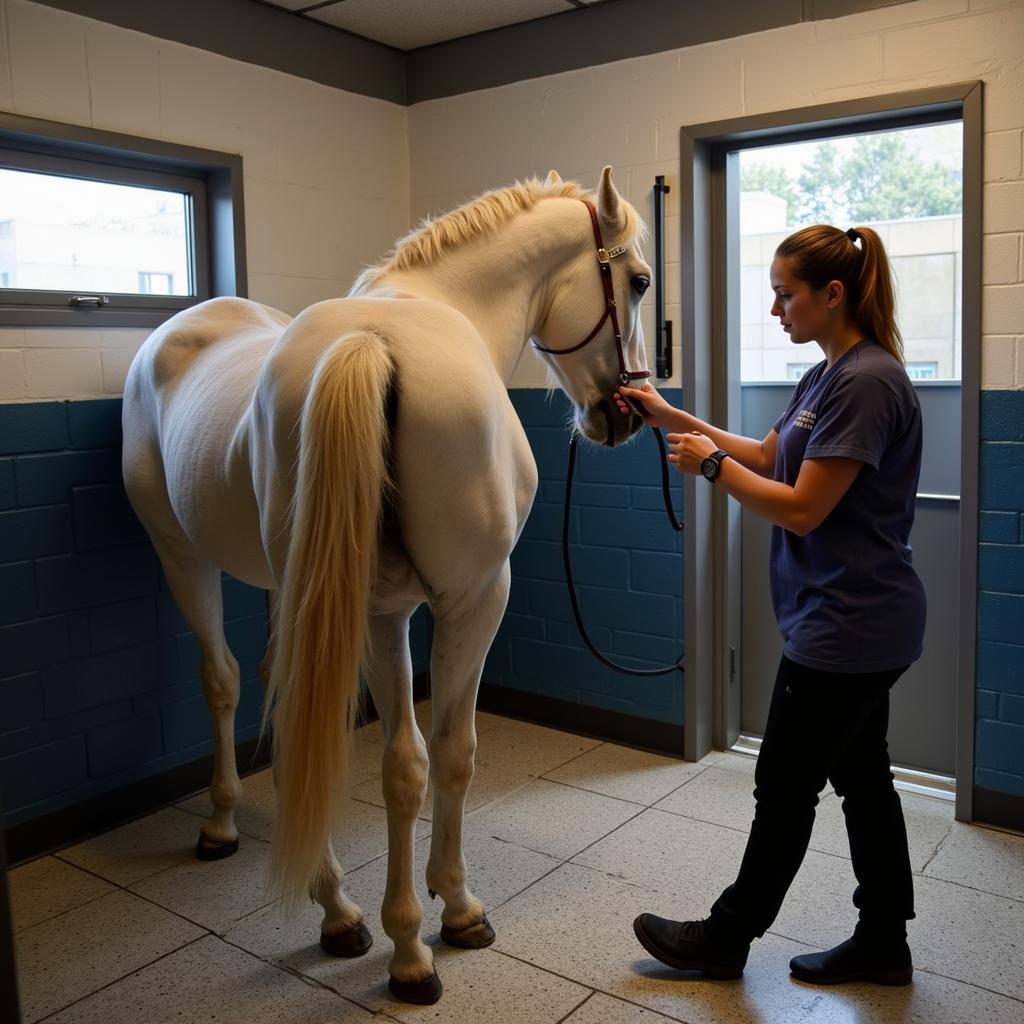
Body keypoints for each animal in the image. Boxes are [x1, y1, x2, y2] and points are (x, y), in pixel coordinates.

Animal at [119, 165, 647, 999]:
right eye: (639, 281)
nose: (625, 414)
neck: (437, 306)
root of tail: (365, 344)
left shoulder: (378, 611)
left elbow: (410, 756)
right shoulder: (468, 601)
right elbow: (442, 756)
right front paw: (442, 918)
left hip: (301, 588)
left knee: (286, 701)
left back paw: (327, 897)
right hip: (185, 557)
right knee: (224, 681)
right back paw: (236, 831)